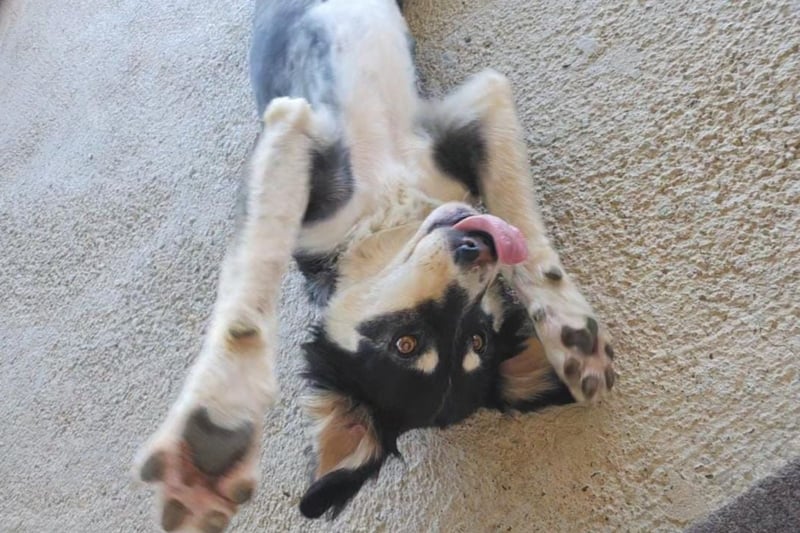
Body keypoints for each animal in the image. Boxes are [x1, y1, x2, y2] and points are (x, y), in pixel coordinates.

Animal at [133, 1, 616, 530]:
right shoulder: (292, 127)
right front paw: (222, 414)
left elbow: (522, 223)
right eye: (406, 343)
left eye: (477, 339)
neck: (389, 212)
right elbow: (259, 257)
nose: (480, 248)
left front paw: (571, 332)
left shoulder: (477, 104)